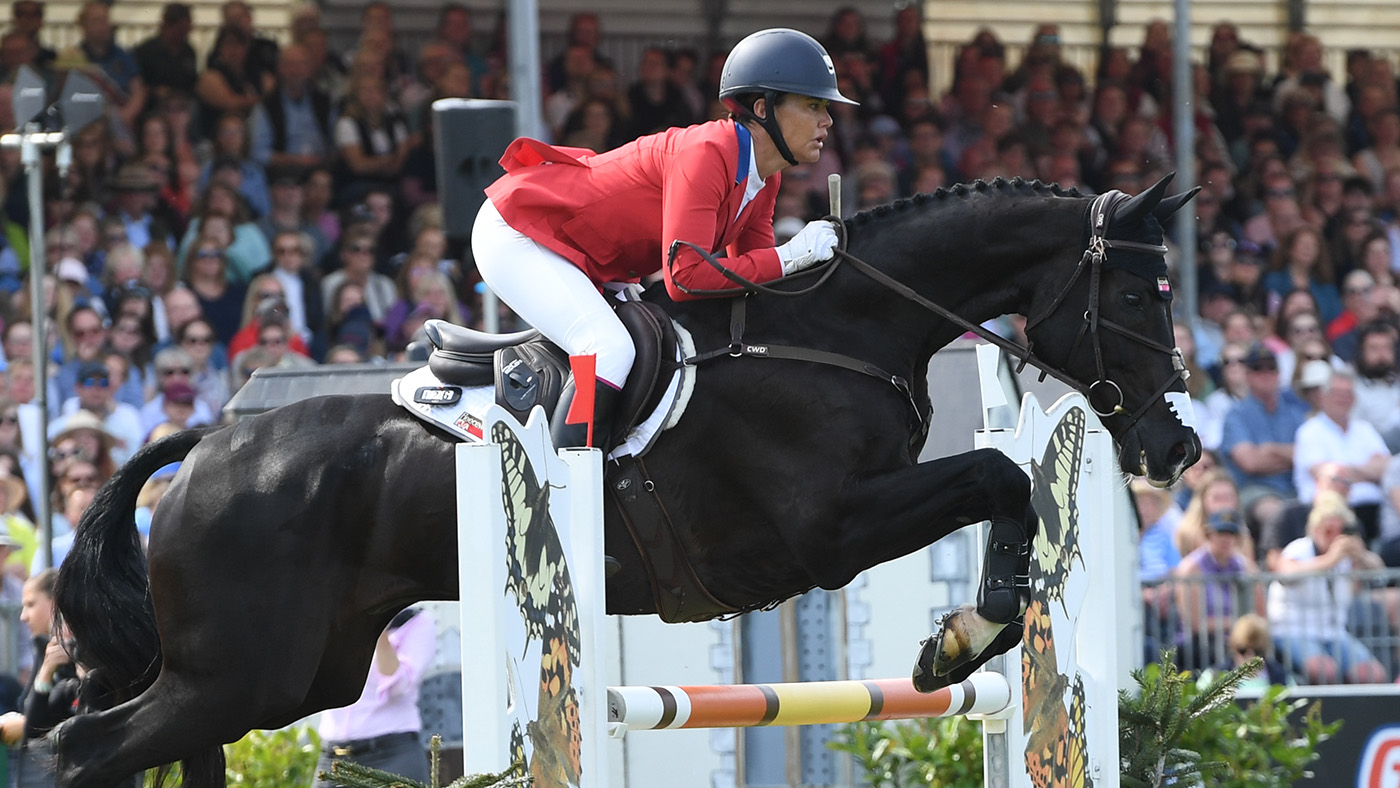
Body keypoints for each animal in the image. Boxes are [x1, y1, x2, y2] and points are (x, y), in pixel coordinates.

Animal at [53, 175, 1200, 788]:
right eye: (1135, 293)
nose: (1177, 446)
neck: (835, 330)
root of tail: (208, 447)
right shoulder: (826, 531)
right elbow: (998, 477)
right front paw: (959, 636)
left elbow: (1009, 489)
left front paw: (965, 633)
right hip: (245, 670)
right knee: (80, 744)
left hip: (296, 672)